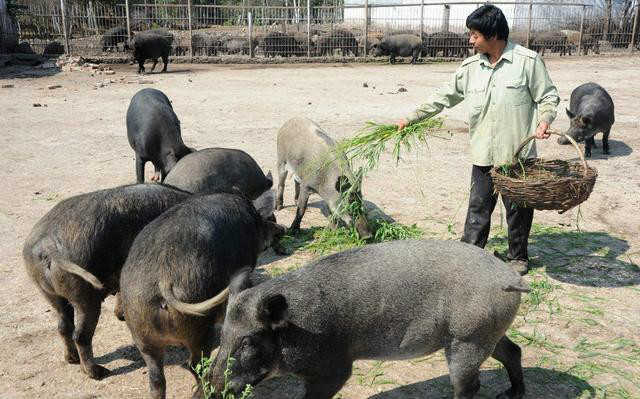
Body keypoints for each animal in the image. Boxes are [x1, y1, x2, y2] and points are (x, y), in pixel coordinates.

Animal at [23, 184, 192, 382]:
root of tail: (48, 246)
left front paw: (121, 315)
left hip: (48, 291)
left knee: (63, 326)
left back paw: (71, 360)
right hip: (84, 294)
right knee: (80, 335)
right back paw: (99, 373)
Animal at [120, 192, 284, 398]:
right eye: (263, 220)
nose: (282, 229)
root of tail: (163, 279)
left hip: (141, 333)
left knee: (156, 379)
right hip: (199, 327)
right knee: (196, 365)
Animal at [210, 239, 528, 398]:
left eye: (248, 341)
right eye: (222, 334)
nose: (212, 386)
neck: (298, 328)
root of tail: (510, 278)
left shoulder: (334, 368)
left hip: (468, 339)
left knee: (469, 385)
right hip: (488, 332)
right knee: (513, 351)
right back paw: (510, 394)